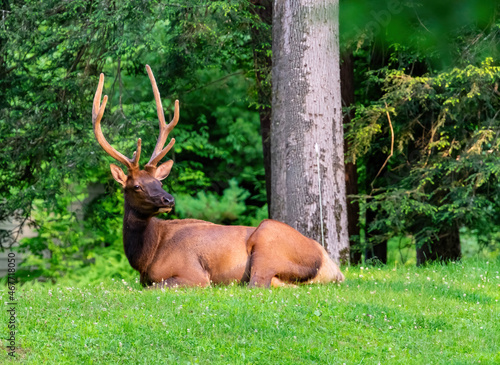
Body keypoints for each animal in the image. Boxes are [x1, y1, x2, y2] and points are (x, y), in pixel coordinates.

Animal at [92, 65, 344, 288]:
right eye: (136, 186)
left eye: (158, 181)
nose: (168, 200)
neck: (145, 257)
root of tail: (332, 266)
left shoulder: (193, 274)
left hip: (267, 241)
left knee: (257, 284)